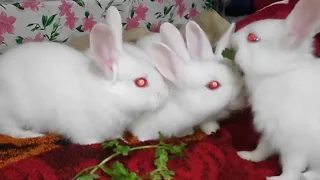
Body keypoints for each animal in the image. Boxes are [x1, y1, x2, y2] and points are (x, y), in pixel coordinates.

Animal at [0, 7, 172, 146]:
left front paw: (122, 140)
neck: (108, 96)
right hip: (9, 112)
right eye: (141, 82)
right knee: (10, 130)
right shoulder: (82, 128)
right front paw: (95, 143)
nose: (165, 94)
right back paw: (32, 134)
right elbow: (88, 140)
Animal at [230, 0, 320, 180]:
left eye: (253, 38)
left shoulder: (295, 144)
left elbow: (292, 166)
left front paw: (277, 178)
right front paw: (247, 156)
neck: (277, 73)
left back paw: (308, 175)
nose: (232, 37)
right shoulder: (270, 131)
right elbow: (262, 148)